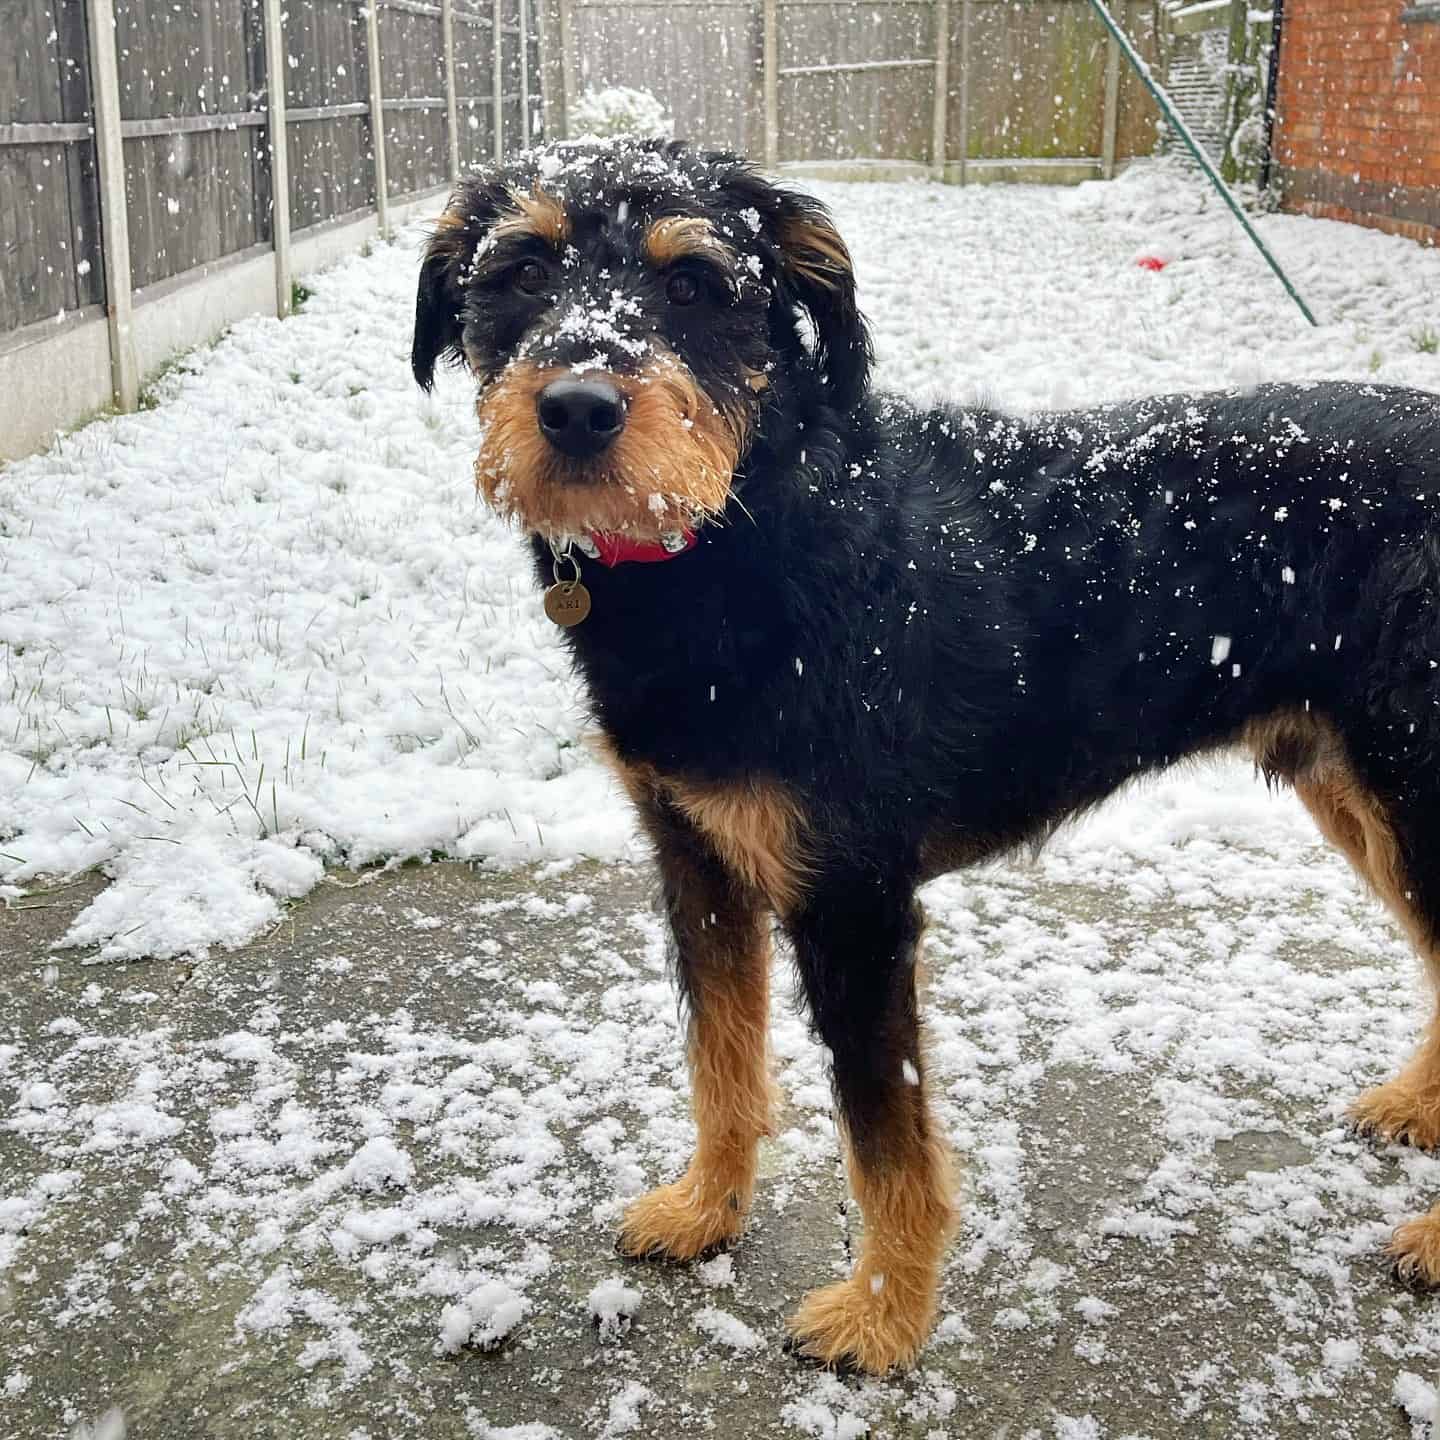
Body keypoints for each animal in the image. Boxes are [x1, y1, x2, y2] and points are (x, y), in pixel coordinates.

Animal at [411, 135, 1440, 1370]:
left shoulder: (853, 902)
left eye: (695, 284)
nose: (575, 409)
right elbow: (722, 1061)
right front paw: (707, 1211)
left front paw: (883, 1316)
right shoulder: (696, 859)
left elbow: (886, 1139)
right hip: (1357, 793)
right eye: (519, 271)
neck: (756, 527)